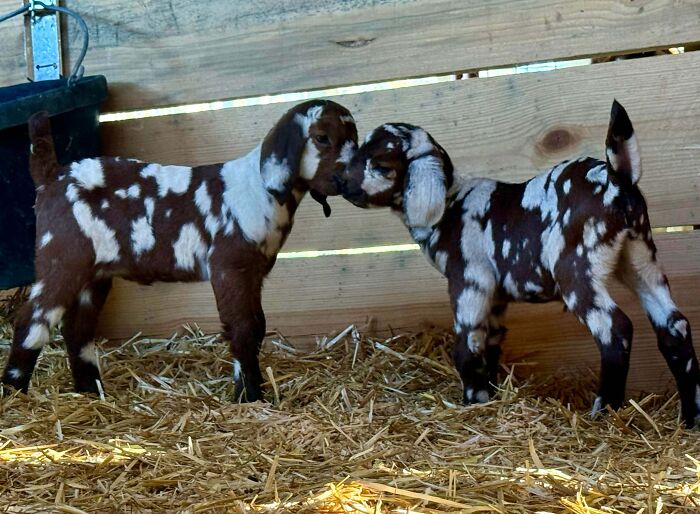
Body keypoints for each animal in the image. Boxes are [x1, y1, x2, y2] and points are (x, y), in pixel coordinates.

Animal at [2, 100, 358, 401]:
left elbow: (258, 325)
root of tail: (51, 176)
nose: (347, 182)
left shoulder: (254, 272)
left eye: (355, 140)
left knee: (77, 328)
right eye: (322, 138)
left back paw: (92, 392)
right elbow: (243, 328)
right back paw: (15, 392)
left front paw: (253, 391)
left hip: (95, 273)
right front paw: (249, 396)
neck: (259, 189)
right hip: (62, 259)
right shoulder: (230, 267)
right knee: (32, 319)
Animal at [340, 101, 699, 427]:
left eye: (381, 164)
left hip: (575, 268)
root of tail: (616, 177)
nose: (340, 182)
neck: (451, 203)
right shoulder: (496, 296)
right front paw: (490, 396)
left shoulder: (469, 280)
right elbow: (491, 343)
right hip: (641, 259)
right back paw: (690, 419)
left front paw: (472, 402)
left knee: (616, 329)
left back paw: (602, 413)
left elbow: (467, 347)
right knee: (674, 326)